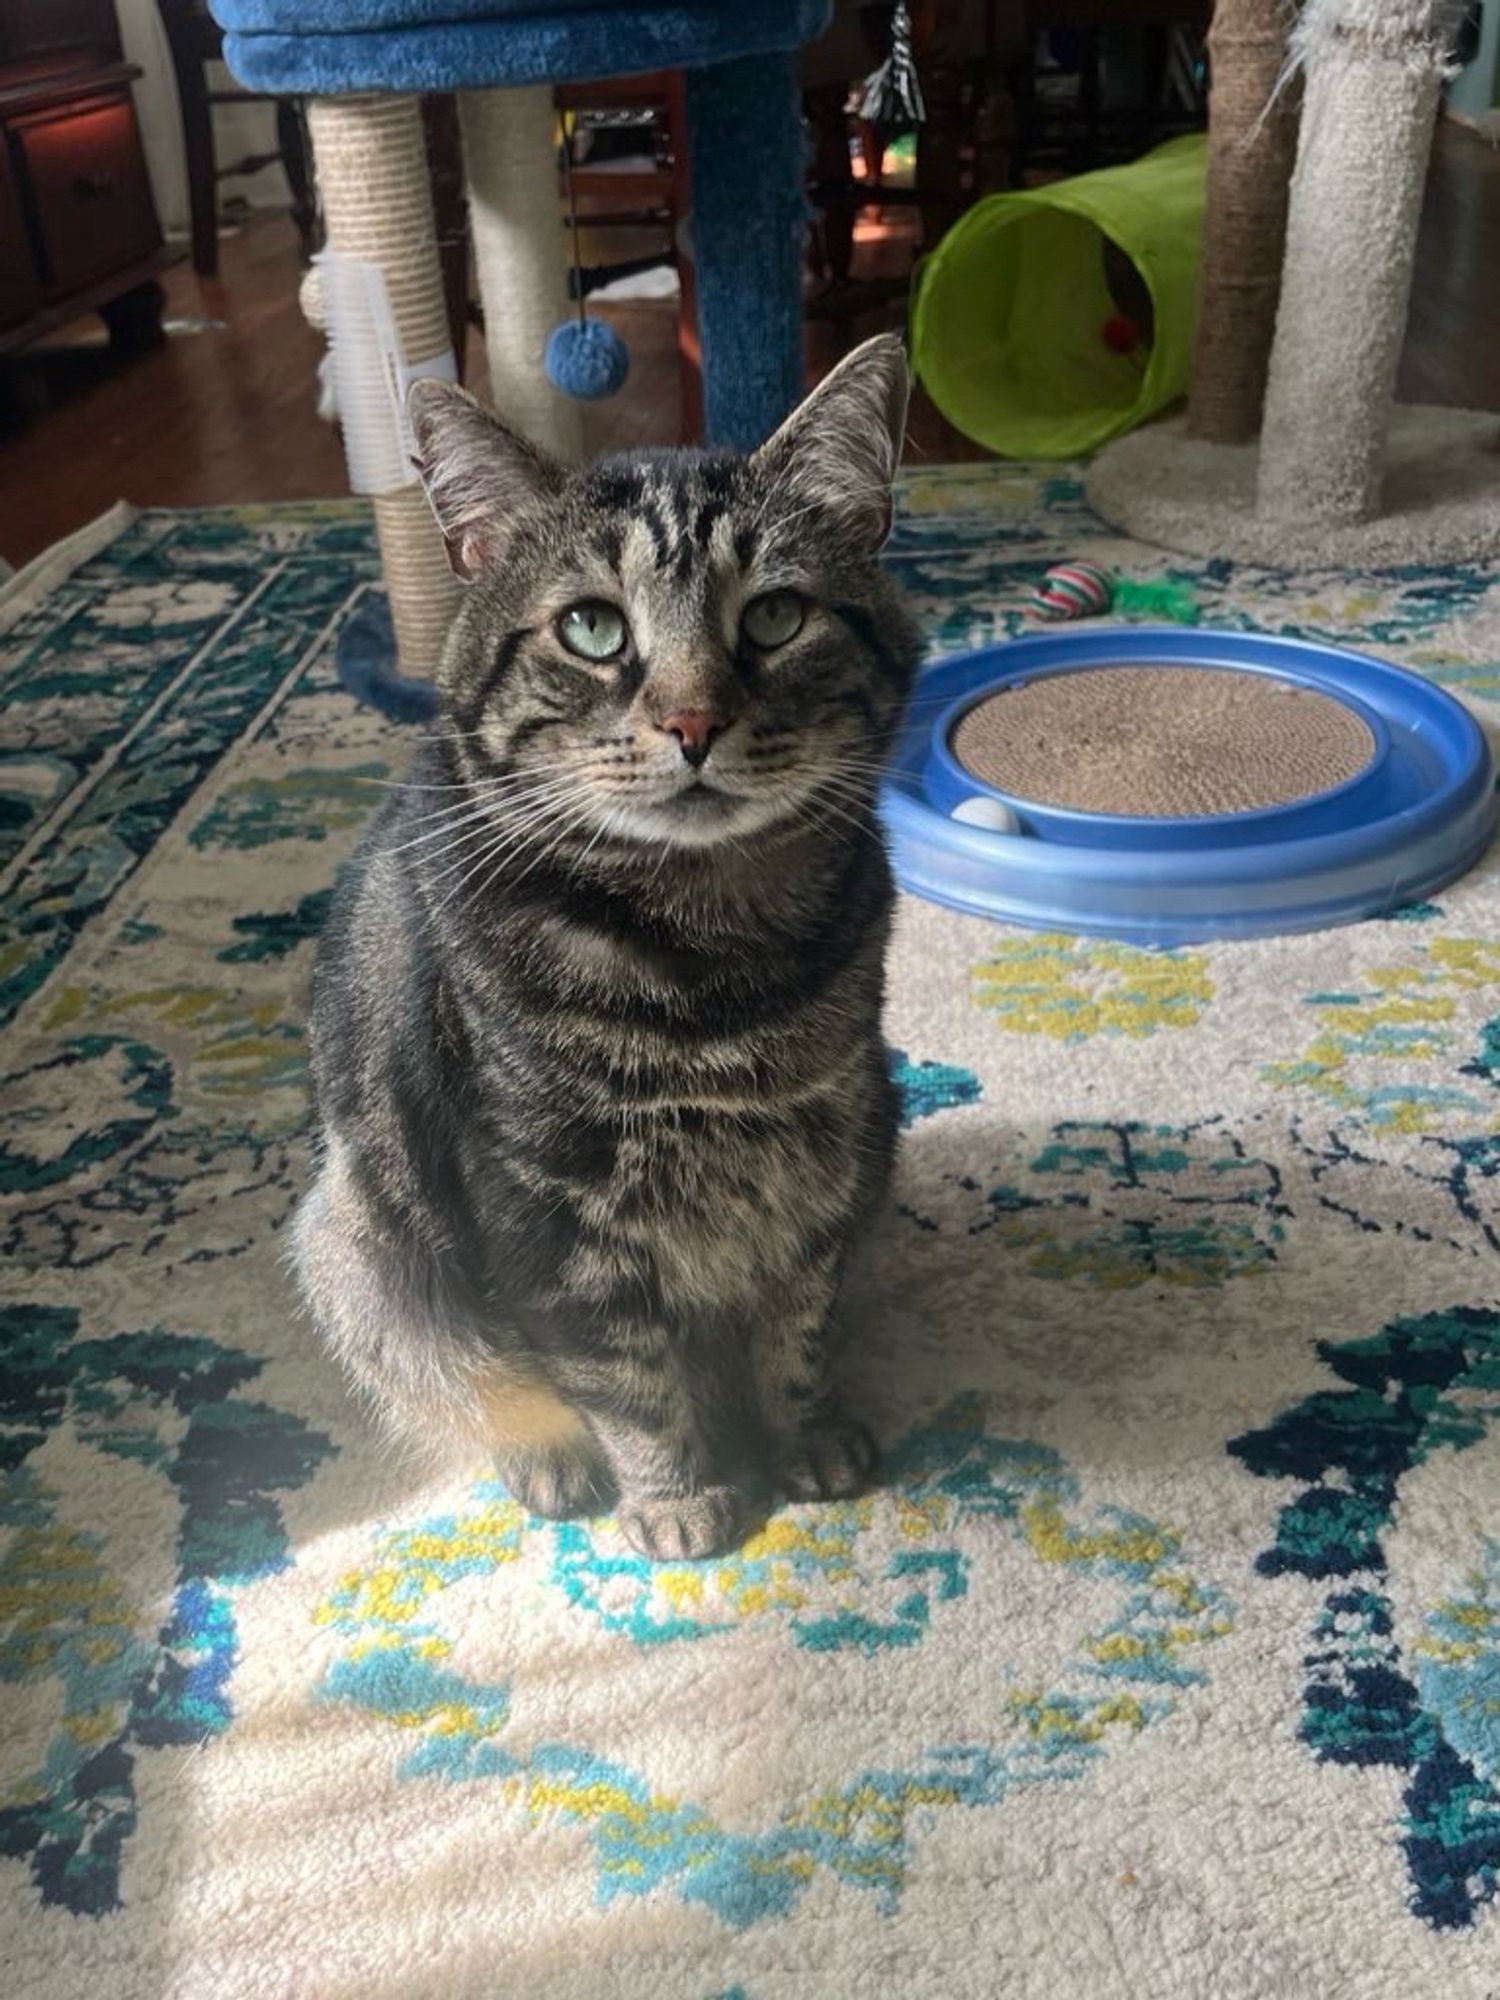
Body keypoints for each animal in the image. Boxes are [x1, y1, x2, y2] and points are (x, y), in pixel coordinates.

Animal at [296, 332, 924, 1560]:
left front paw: (802, 1434)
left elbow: (797, 1322)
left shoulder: (826, 1153)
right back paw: (549, 1457)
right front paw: (678, 1495)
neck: (712, 951)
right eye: (592, 629)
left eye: (775, 617)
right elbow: (623, 1374)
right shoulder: (551, 1199)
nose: (692, 722)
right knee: (474, 1381)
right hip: (354, 1240)